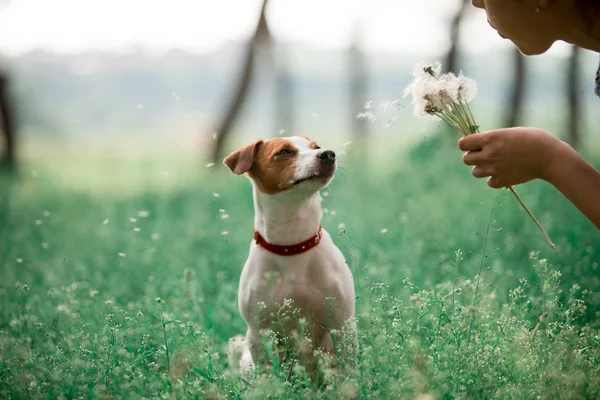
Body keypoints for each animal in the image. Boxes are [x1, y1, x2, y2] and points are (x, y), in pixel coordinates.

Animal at [225, 136, 356, 376]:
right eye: (284, 152)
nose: (328, 154)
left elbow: (348, 370)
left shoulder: (343, 324)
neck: (292, 245)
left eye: (316, 147)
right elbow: (269, 374)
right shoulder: (259, 333)